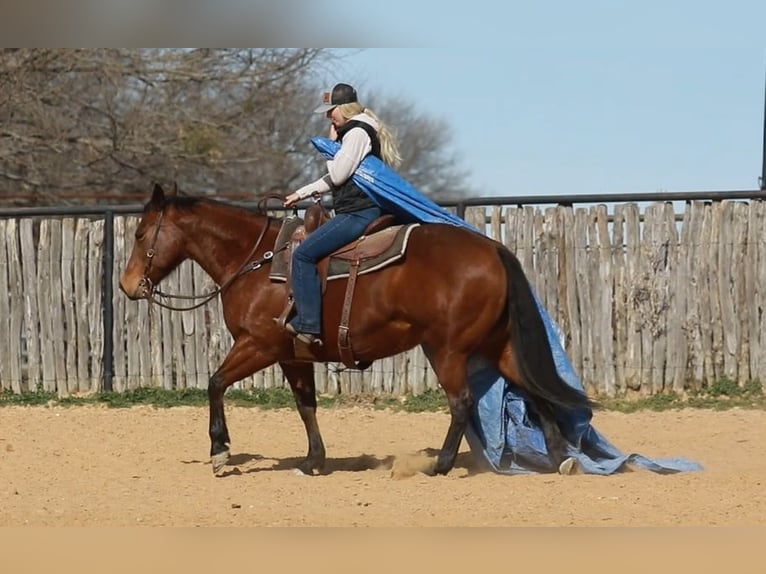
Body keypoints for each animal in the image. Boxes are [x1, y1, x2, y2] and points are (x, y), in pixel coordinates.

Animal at [118, 184, 592, 476]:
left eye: (141, 233)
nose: (126, 285)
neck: (256, 261)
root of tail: (493, 249)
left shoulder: (258, 346)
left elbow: (215, 383)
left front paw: (220, 452)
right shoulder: (292, 356)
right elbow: (305, 405)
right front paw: (313, 460)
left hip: (447, 349)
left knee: (461, 402)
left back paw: (439, 465)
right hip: (499, 346)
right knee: (534, 391)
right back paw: (560, 459)